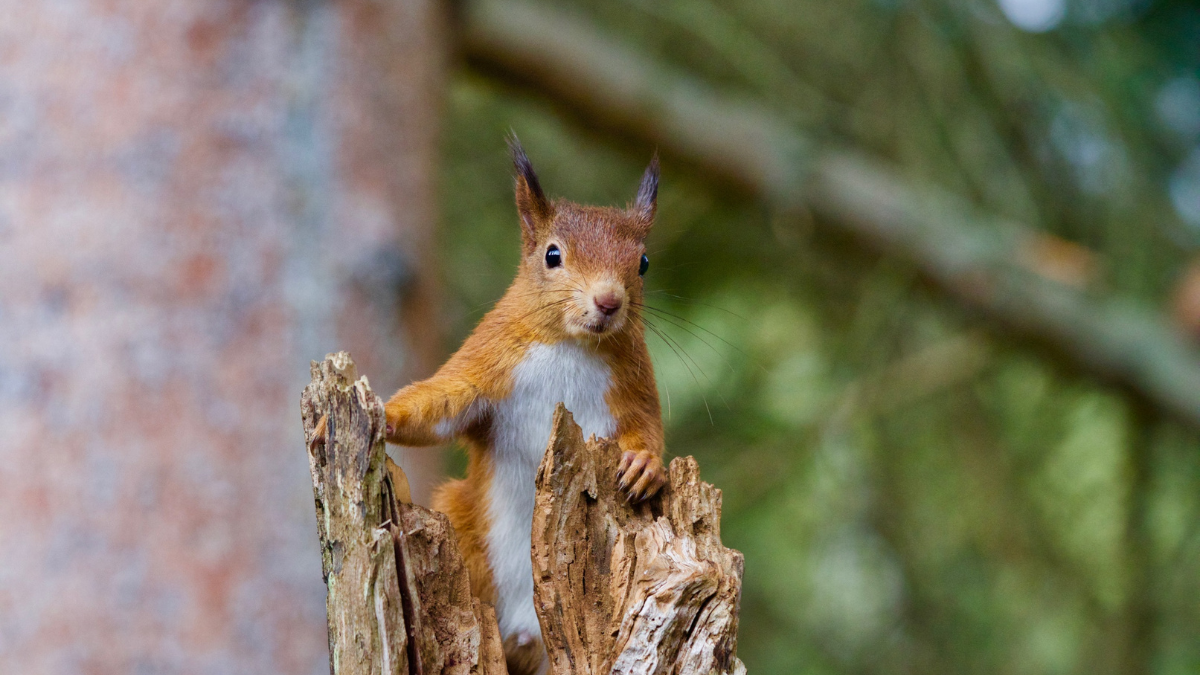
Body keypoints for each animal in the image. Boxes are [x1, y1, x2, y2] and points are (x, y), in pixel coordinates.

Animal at [384, 139, 667, 667]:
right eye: (552, 255)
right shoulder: (486, 364)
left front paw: (645, 465)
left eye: (642, 262)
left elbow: (648, 426)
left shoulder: (633, 386)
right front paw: (383, 414)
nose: (608, 302)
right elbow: (440, 406)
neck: (571, 344)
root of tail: (523, 632)